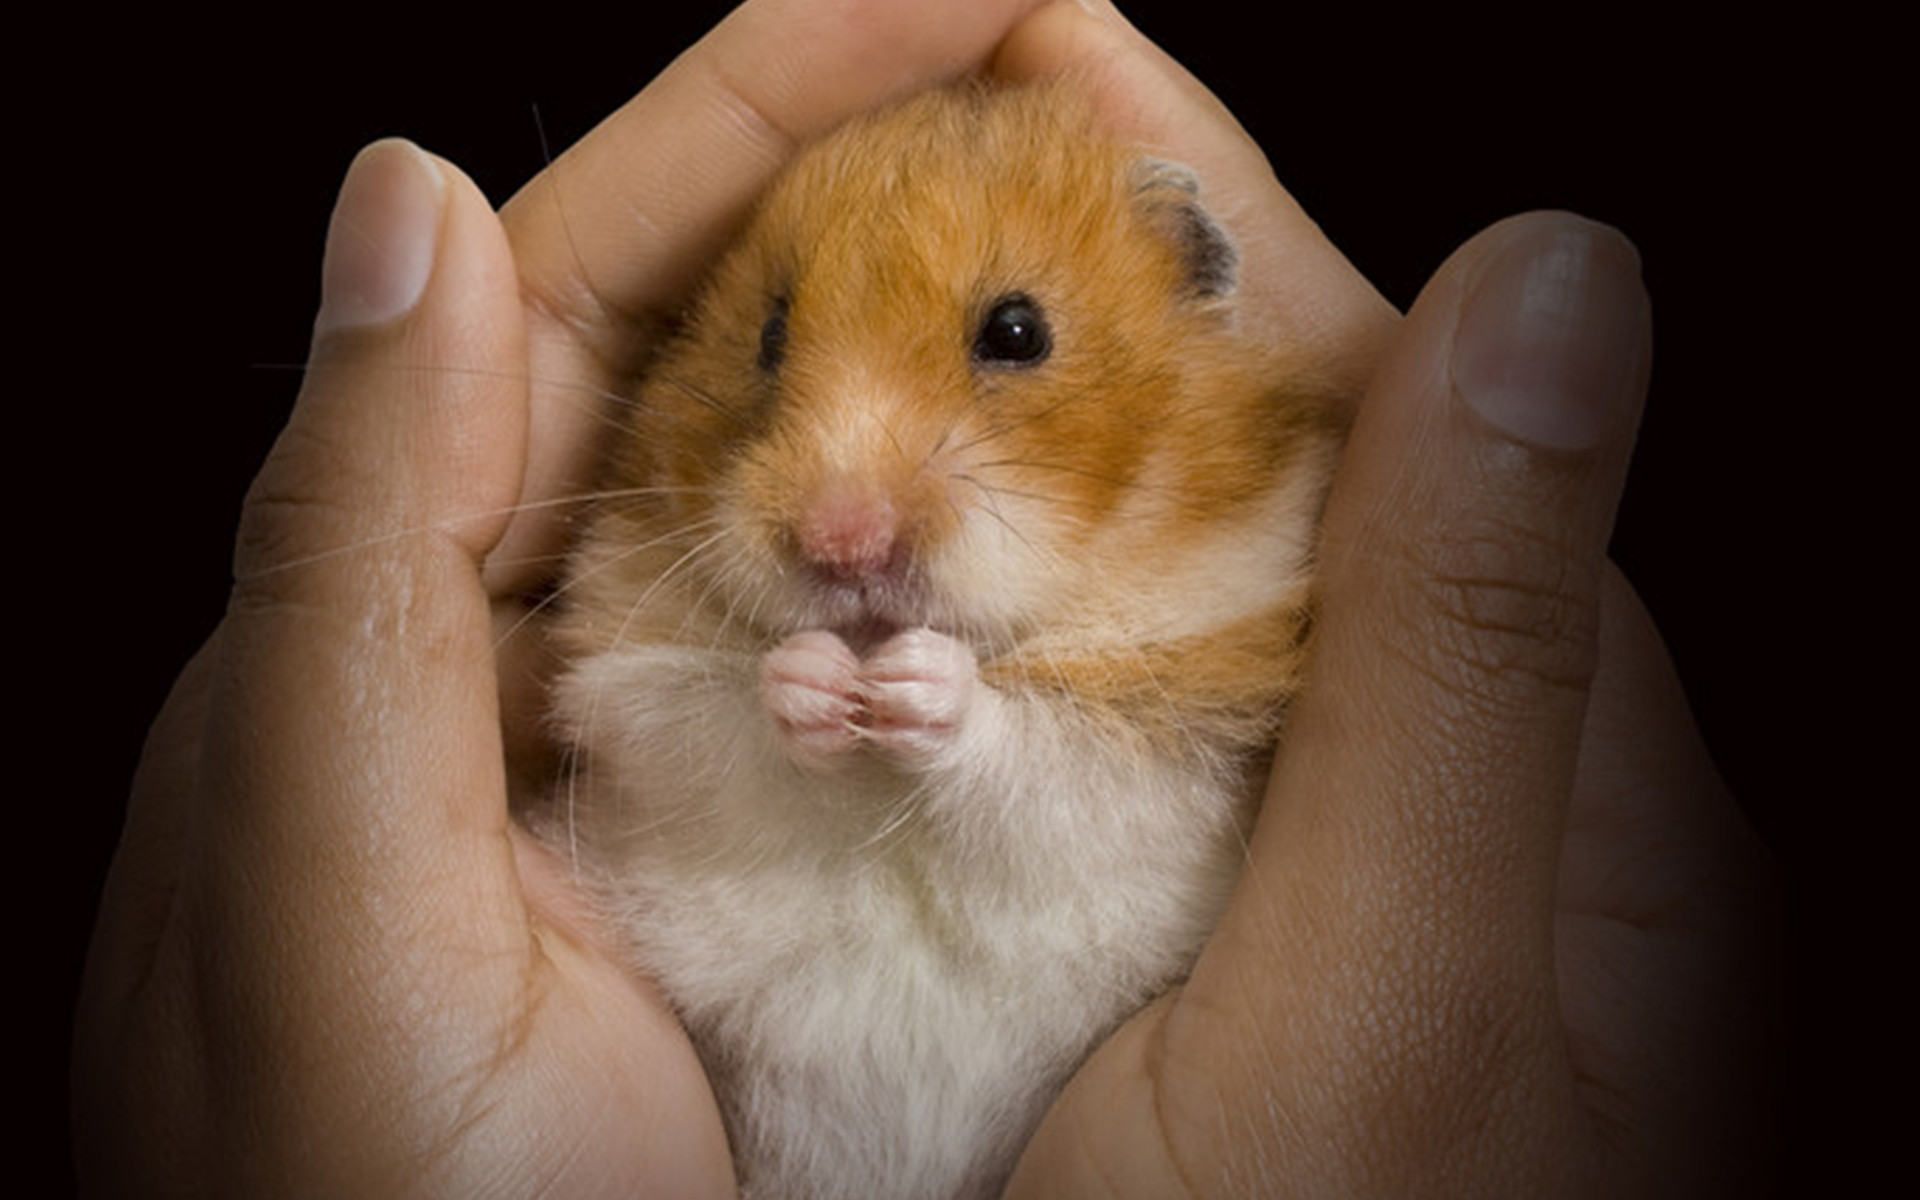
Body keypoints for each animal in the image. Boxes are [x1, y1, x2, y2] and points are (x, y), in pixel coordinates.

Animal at [545, 81, 1342, 1200]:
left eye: (1016, 330)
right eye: (769, 333)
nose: (841, 540)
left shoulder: (1190, 722)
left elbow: (1039, 752)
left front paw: (917, 683)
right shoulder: (633, 685)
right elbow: (728, 723)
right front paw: (819, 682)